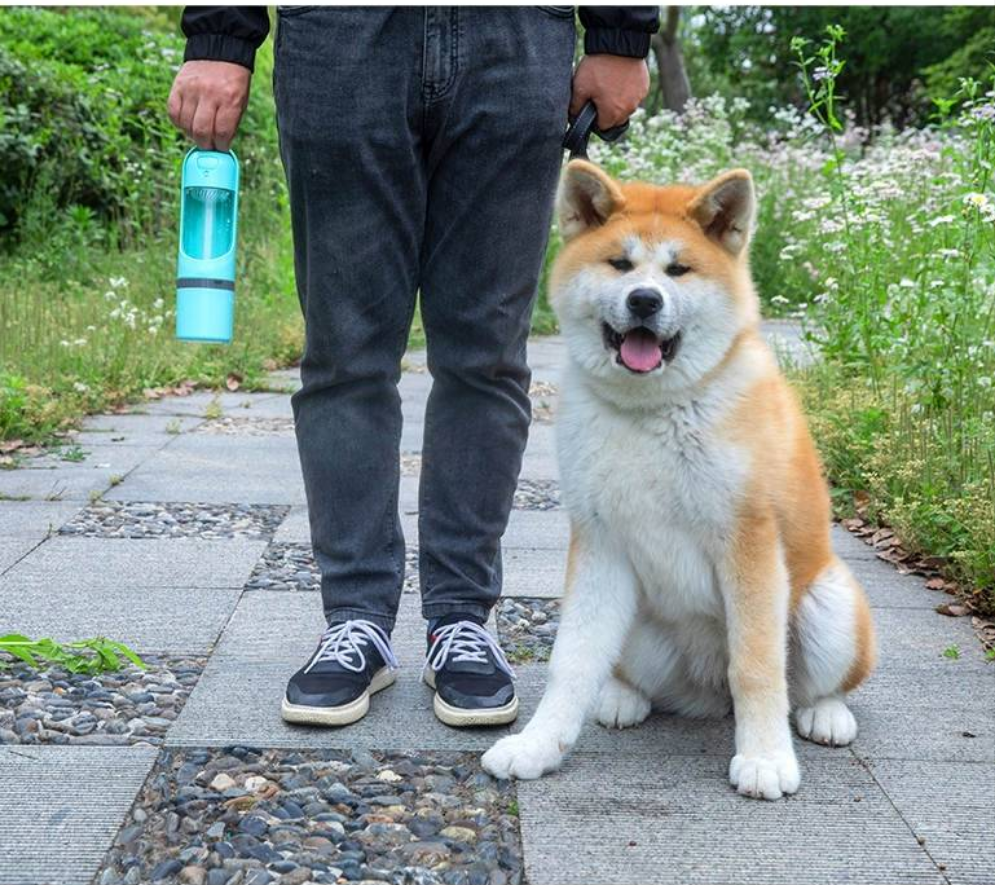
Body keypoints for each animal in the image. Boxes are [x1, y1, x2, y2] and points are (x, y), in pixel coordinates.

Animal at [484, 161, 880, 800]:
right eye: (619, 264)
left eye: (678, 270)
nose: (644, 299)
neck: (654, 410)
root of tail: (707, 691)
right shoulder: (599, 542)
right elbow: (571, 662)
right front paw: (538, 746)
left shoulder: (749, 542)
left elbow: (757, 667)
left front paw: (766, 758)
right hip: (641, 628)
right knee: (633, 674)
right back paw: (622, 697)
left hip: (829, 603)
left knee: (811, 686)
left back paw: (825, 715)